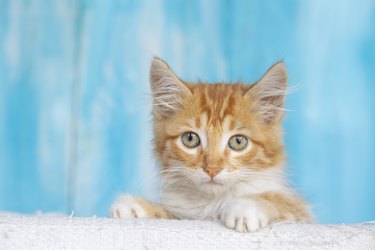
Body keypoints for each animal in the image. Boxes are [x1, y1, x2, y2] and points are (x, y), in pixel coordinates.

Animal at [110, 57, 312, 232]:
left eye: (238, 141)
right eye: (190, 139)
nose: (212, 169)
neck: (212, 202)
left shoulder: (302, 215)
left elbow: (278, 200)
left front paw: (245, 207)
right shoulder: (185, 217)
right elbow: (170, 214)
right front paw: (136, 206)